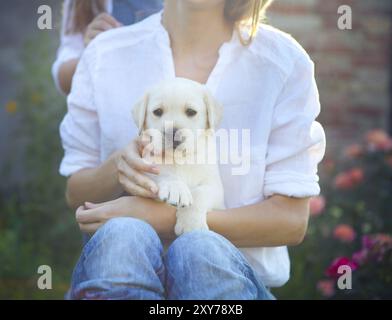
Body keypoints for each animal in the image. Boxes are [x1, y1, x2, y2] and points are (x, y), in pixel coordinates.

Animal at [132, 78, 224, 235]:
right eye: (157, 112)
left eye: (191, 112)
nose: (173, 133)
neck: (181, 159)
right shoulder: (146, 169)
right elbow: (164, 174)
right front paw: (175, 187)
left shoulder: (216, 188)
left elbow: (200, 193)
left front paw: (191, 224)